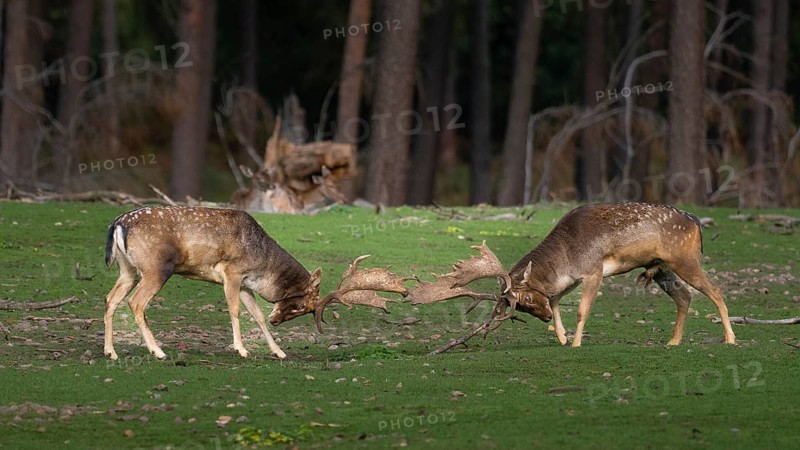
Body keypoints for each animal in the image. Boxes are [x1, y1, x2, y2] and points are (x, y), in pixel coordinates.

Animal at [103, 206, 410, 360]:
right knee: (135, 302)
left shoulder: (246, 285)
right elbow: (235, 310)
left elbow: (258, 316)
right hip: (156, 268)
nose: (279, 321)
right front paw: (241, 349)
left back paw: (111, 352)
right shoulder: (232, 272)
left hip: (127, 269)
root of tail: (117, 224)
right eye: (301, 306)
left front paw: (280, 352)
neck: (263, 266)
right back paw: (158, 352)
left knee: (110, 299)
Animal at [410, 203, 736, 348]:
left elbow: (581, 309)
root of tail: (696, 223)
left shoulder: (593, 270)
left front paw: (576, 342)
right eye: (523, 308)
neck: (566, 255)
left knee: (715, 289)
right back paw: (673, 341)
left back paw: (730, 338)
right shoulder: (569, 280)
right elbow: (556, 301)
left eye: (526, 299)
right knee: (684, 296)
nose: (540, 318)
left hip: (685, 259)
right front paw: (562, 336)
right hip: (662, 267)